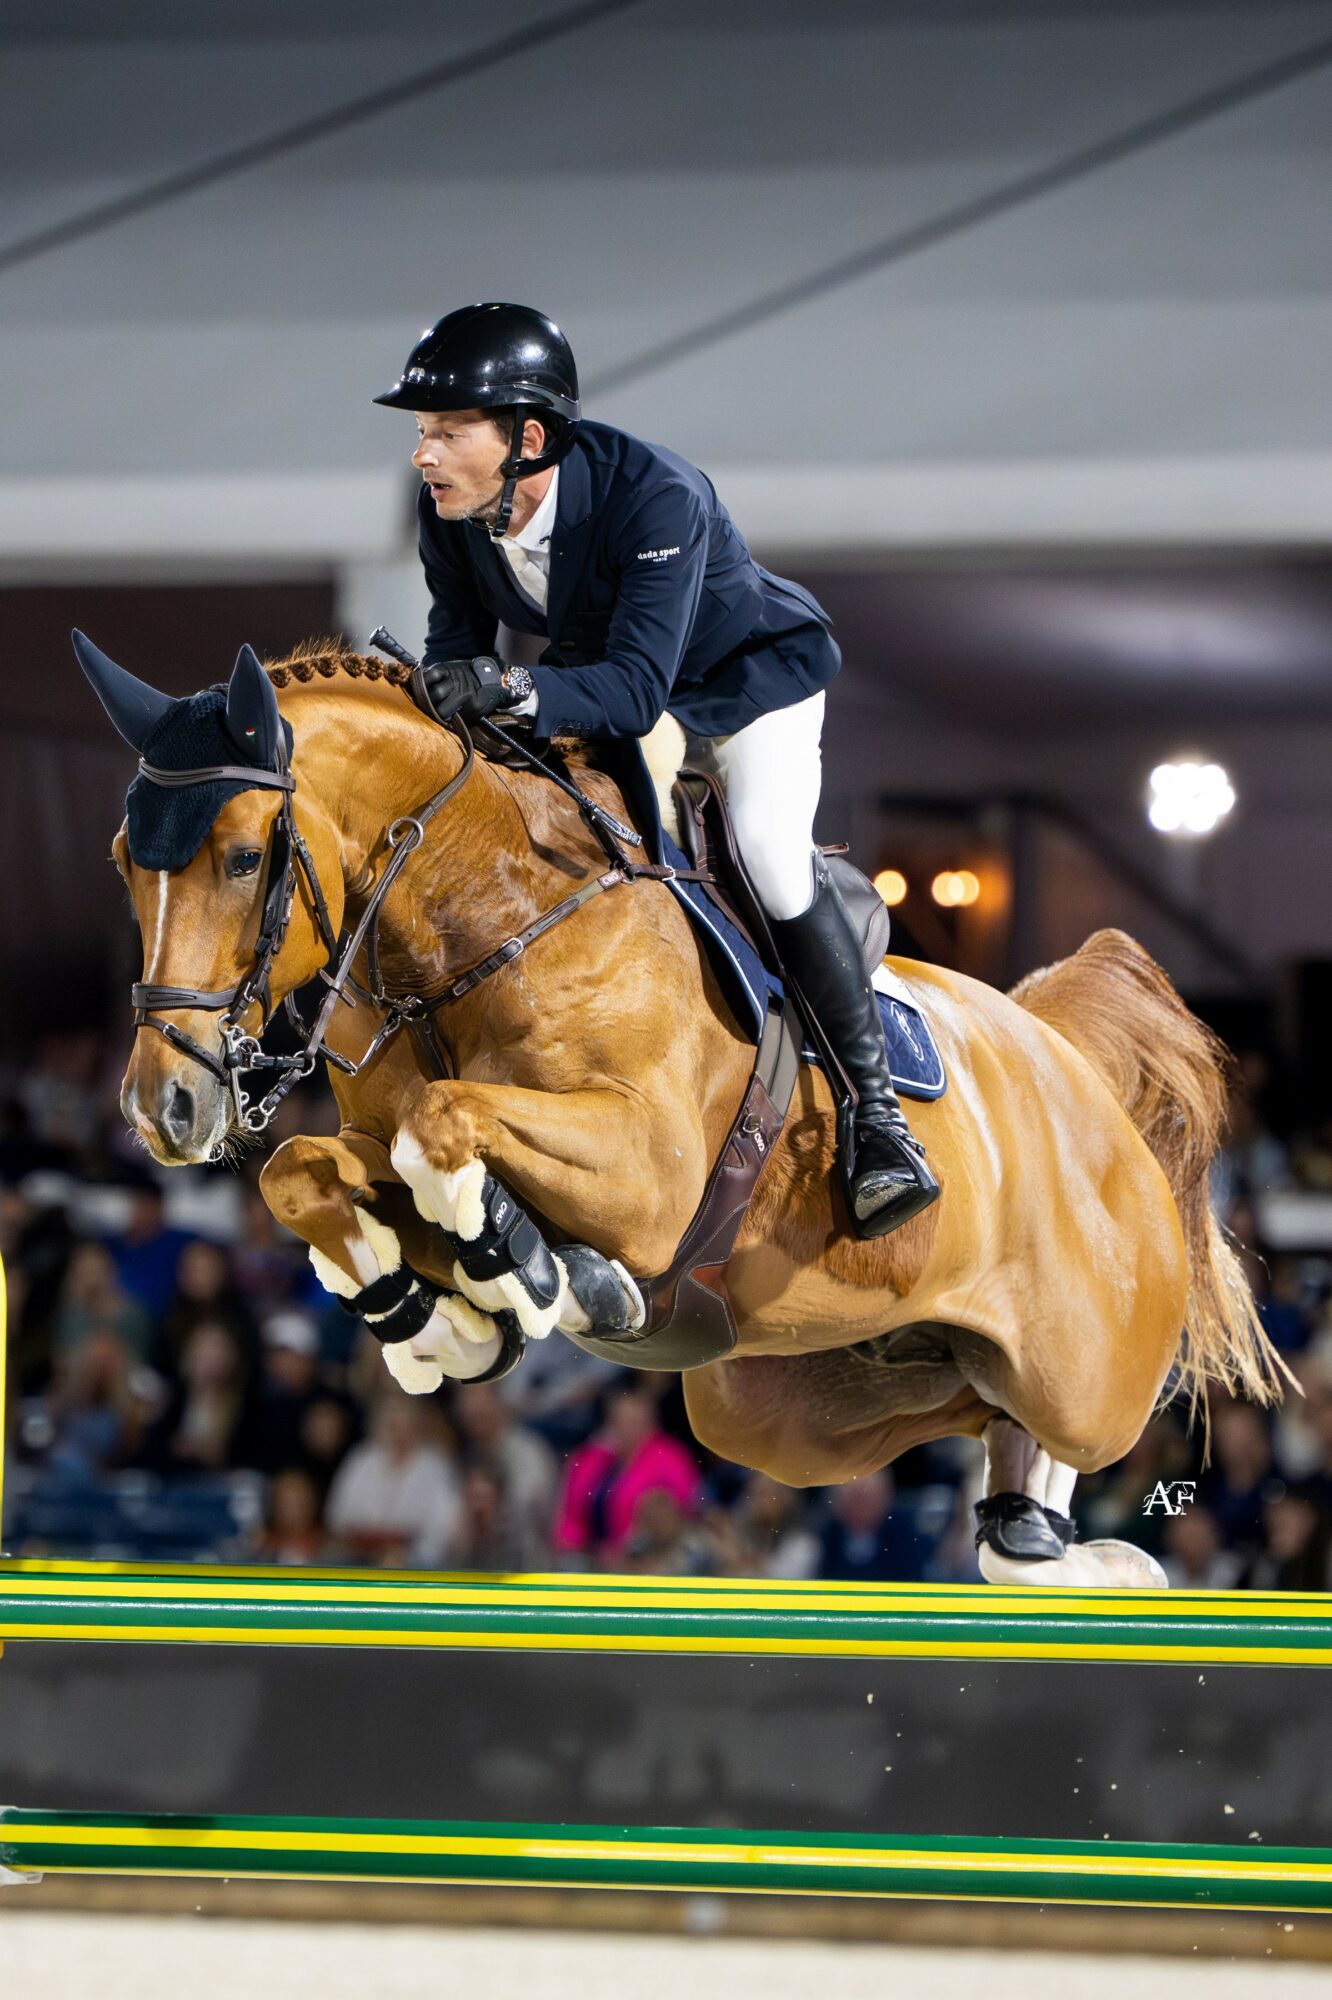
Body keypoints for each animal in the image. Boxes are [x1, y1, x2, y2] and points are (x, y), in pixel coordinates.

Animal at [84, 634, 1288, 1588]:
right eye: (123, 863)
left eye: (245, 858)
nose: (165, 1108)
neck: (486, 919)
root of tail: (1070, 1061)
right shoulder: (384, 1144)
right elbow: (308, 1172)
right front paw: (438, 1319)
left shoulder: (650, 1174)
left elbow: (448, 1120)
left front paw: (532, 1272)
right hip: (782, 1410)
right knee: (970, 1418)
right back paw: (1050, 1544)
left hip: (1086, 1368)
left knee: (1053, 1421)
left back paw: (1113, 1558)